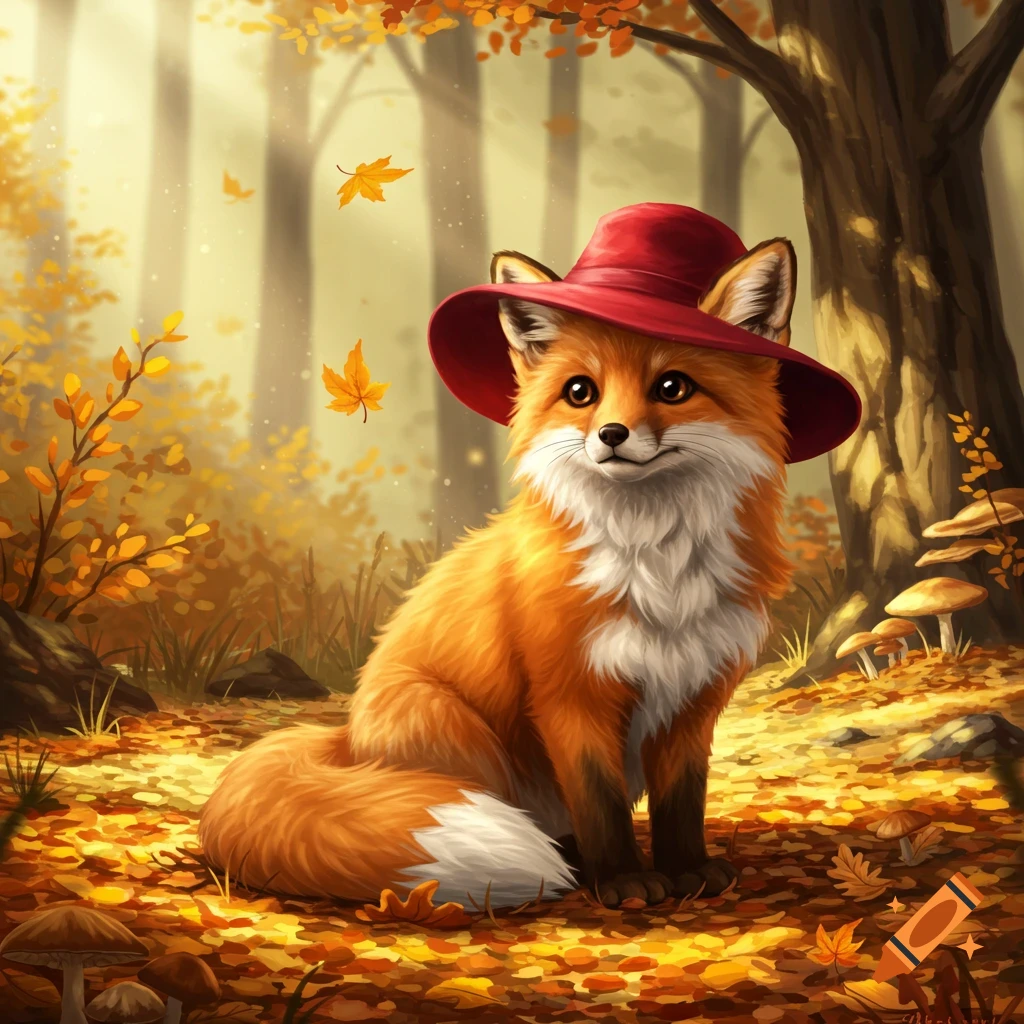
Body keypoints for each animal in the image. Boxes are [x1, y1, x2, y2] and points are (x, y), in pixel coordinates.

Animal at [199, 234, 797, 909]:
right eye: (581, 392)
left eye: (672, 386)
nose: (611, 435)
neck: (658, 566)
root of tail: (345, 740)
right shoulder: (570, 694)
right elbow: (602, 802)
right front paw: (622, 879)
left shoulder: (694, 697)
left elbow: (682, 801)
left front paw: (688, 870)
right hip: (458, 731)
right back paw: (564, 864)